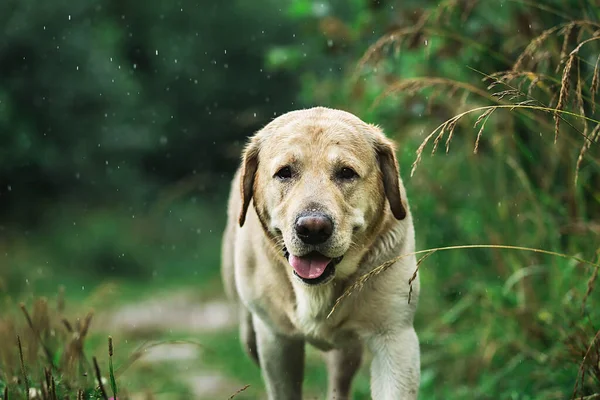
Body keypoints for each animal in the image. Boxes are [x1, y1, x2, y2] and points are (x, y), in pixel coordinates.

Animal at [221, 107, 422, 400]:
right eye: (284, 173)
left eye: (346, 173)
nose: (313, 228)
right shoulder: (276, 341)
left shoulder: (395, 338)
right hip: (250, 333)